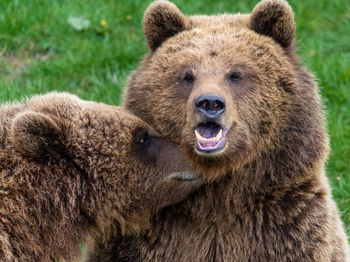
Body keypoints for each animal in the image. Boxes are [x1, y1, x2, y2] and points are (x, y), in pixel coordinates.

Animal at [88, 0, 350, 262]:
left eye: (235, 74)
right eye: (187, 75)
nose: (210, 103)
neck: (219, 197)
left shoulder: (287, 230)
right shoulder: (145, 239)